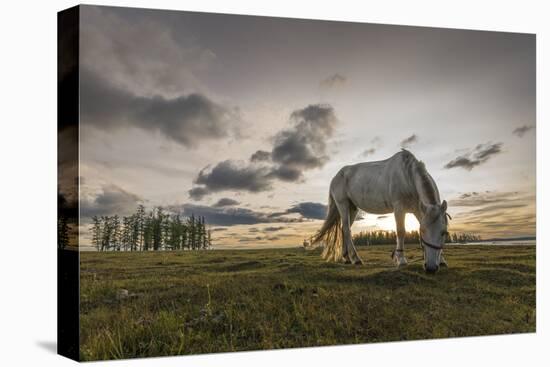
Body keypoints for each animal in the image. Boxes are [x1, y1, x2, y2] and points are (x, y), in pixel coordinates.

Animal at [312, 150, 450, 274]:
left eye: (444, 232)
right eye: (422, 231)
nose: (431, 268)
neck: (408, 176)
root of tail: (336, 176)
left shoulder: (418, 209)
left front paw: (442, 260)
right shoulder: (399, 208)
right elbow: (401, 231)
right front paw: (401, 260)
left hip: (352, 208)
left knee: (344, 229)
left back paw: (346, 258)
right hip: (343, 204)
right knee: (346, 229)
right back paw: (356, 259)